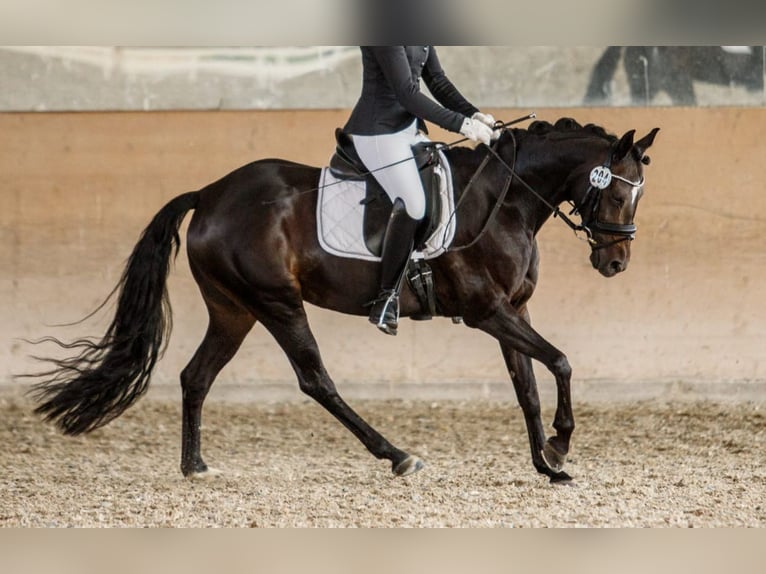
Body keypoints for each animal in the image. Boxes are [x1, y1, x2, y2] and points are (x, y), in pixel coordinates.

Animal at [27, 118, 656, 486]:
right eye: (616, 193)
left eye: (637, 195)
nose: (616, 263)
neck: (504, 202)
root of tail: (209, 194)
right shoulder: (487, 314)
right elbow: (561, 362)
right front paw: (561, 444)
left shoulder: (515, 311)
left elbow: (528, 386)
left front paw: (546, 464)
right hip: (277, 304)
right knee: (315, 380)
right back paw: (396, 455)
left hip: (235, 310)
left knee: (195, 376)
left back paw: (195, 466)